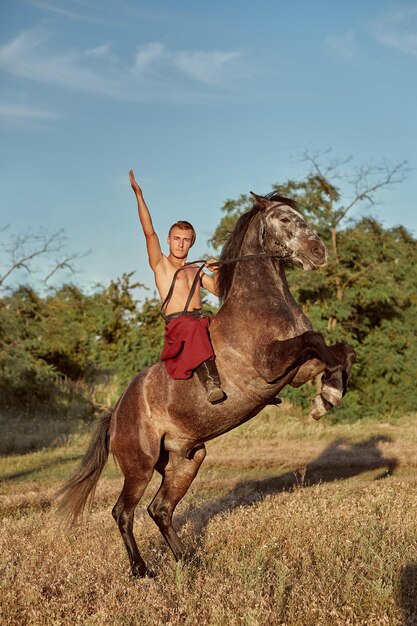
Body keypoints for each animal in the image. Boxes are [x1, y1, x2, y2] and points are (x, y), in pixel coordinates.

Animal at [56, 190, 354, 576]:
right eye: (285, 219)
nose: (318, 252)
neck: (263, 304)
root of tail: (116, 414)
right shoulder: (271, 366)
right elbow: (318, 340)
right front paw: (328, 394)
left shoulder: (296, 371)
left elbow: (341, 350)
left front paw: (328, 395)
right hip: (140, 467)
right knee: (124, 511)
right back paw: (142, 570)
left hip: (187, 460)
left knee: (160, 509)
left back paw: (189, 560)